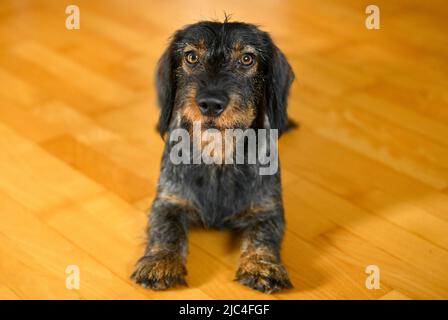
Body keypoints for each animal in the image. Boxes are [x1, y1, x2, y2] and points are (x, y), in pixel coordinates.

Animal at [131, 20, 296, 294]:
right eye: (191, 56)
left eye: (247, 58)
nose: (210, 104)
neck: (217, 156)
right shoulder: (168, 201)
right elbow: (166, 230)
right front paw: (160, 262)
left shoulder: (268, 208)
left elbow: (264, 235)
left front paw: (262, 265)